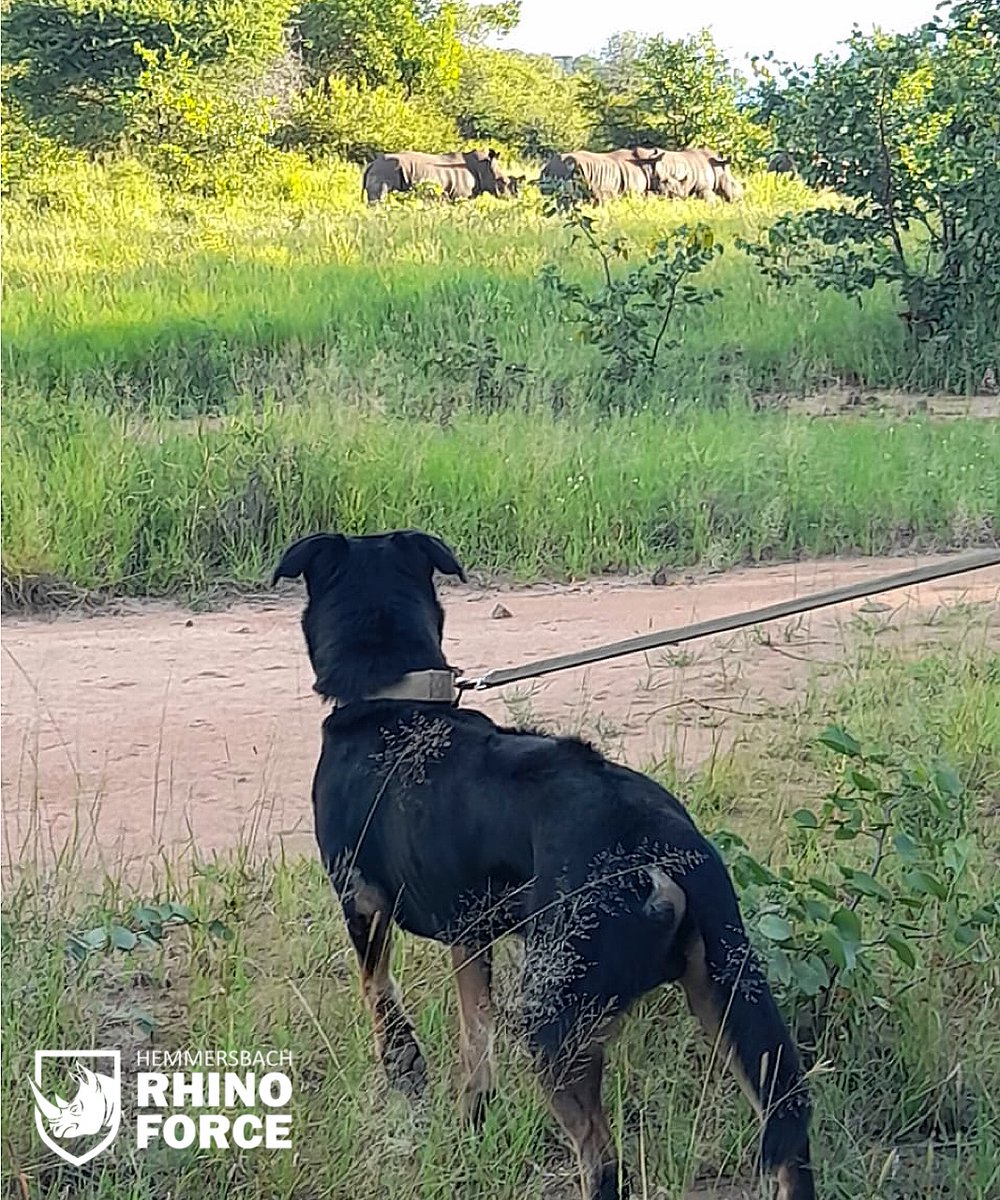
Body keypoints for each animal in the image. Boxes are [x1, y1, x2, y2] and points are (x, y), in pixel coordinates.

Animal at [363, 149, 512, 203]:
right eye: (503, 181)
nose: (508, 198)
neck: (483, 167)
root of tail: (371, 164)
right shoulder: (461, 196)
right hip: (384, 170)